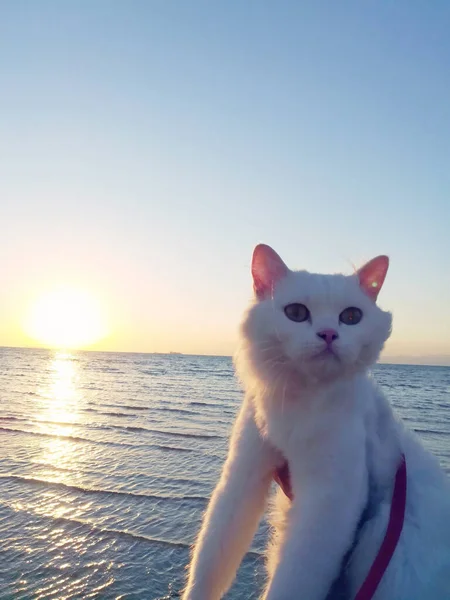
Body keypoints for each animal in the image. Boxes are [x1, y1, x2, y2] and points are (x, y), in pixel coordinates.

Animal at [183, 245, 450, 600]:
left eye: (351, 317)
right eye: (296, 313)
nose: (328, 334)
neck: (301, 402)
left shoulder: (330, 501)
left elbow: (292, 581)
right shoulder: (242, 477)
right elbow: (211, 559)